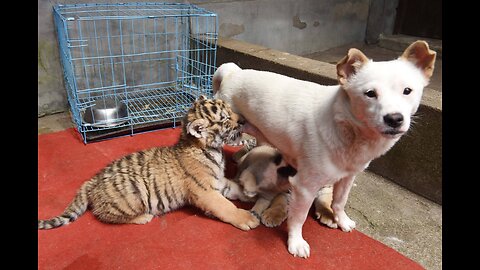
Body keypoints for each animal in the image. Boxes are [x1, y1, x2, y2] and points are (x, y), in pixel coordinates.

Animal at [213, 40, 436, 258]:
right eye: (370, 94)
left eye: (407, 91)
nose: (395, 119)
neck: (346, 129)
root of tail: (234, 73)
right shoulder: (305, 186)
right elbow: (299, 217)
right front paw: (296, 242)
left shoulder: (347, 177)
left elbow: (339, 202)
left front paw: (342, 221)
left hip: (261, 136)